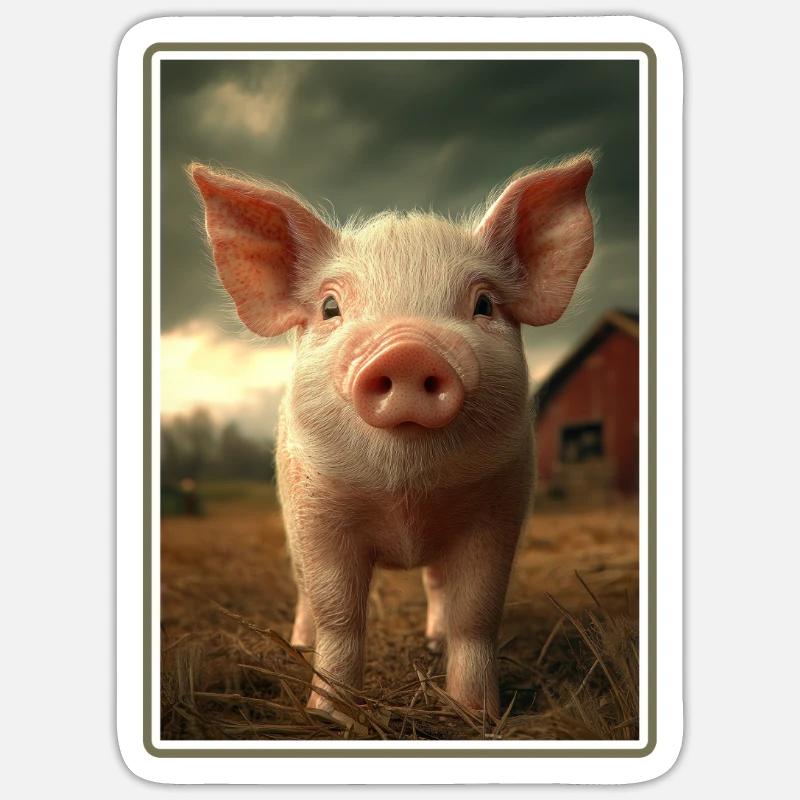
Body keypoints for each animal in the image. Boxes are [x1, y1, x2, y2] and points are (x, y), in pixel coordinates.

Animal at [190, 155, 595, 719]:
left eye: (485, 304)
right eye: (330, 307)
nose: (407, 349)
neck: (407, 495)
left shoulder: (499, 508)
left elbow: (477, 613)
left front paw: (477, 714)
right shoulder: (318, 511)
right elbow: (339, 615)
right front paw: (329, 716)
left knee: (437, 586)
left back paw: (433, 642)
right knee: (304, 592)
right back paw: (299, 644)